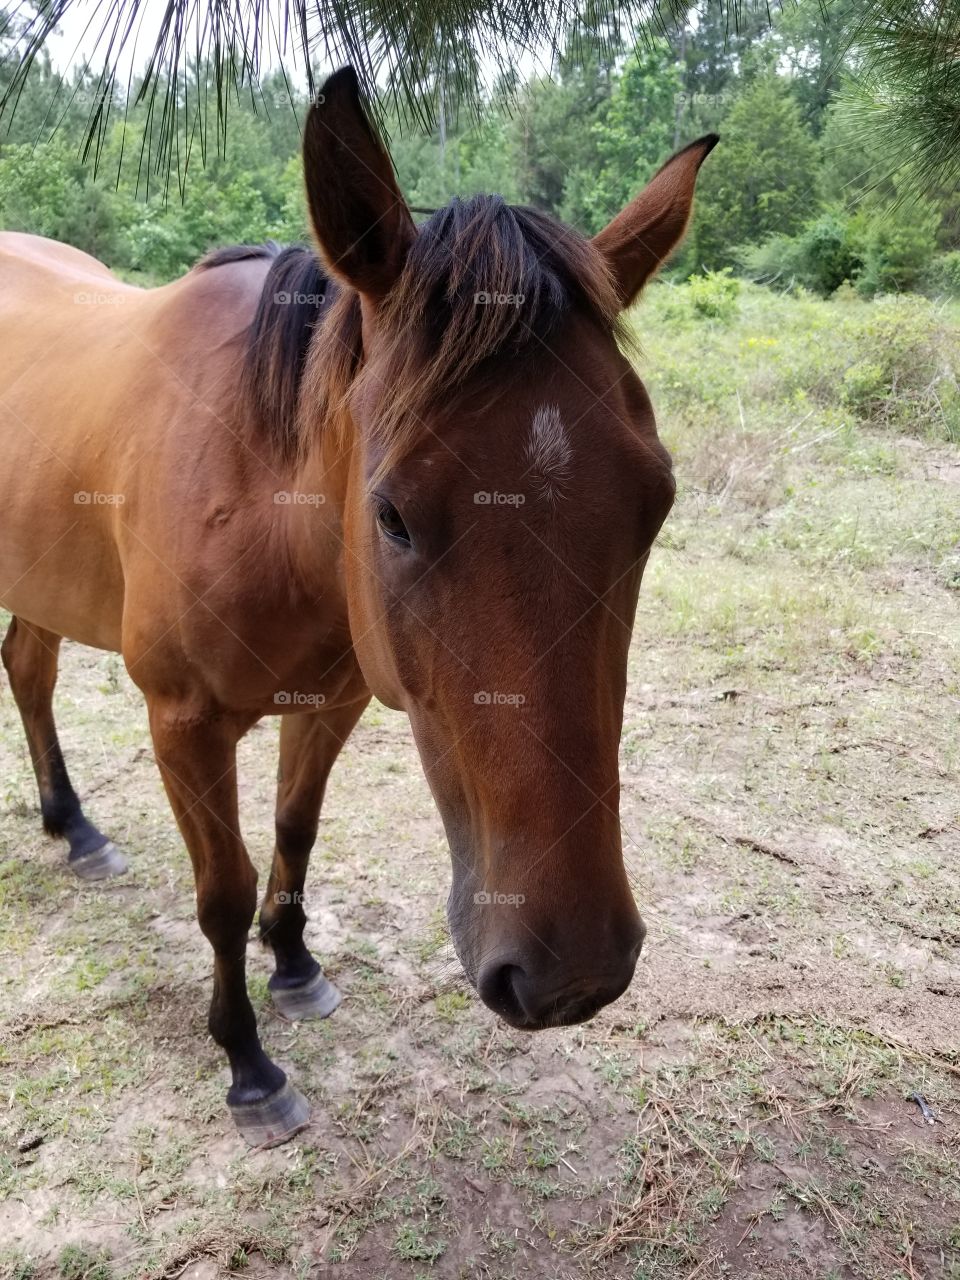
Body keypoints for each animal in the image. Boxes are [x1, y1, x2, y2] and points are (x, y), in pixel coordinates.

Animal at [0, 65, 716, 1146]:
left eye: (656, 502)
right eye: (392, 514)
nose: (573, 968)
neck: (259, 498)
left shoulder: (330, 704)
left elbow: (294, 835)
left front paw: (295, 964)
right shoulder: (182, 723)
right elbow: (223, 891)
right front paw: (249, 1062)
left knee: (28, 667)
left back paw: (72, 826)